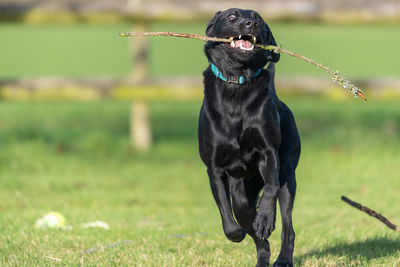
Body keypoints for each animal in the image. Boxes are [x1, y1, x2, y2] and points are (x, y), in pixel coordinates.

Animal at [198, 8, 300, 267]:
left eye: (259, 19)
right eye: (231, 17)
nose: (251, 24)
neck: (238, 83)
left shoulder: (268, 151)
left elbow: (271, 187)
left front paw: (264, 219)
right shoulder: (214, 168)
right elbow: (226, 209)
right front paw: (238, 232)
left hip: (288, 172)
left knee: (287, 225)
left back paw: (282, 256)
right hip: (241, 186)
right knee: (244, 212)